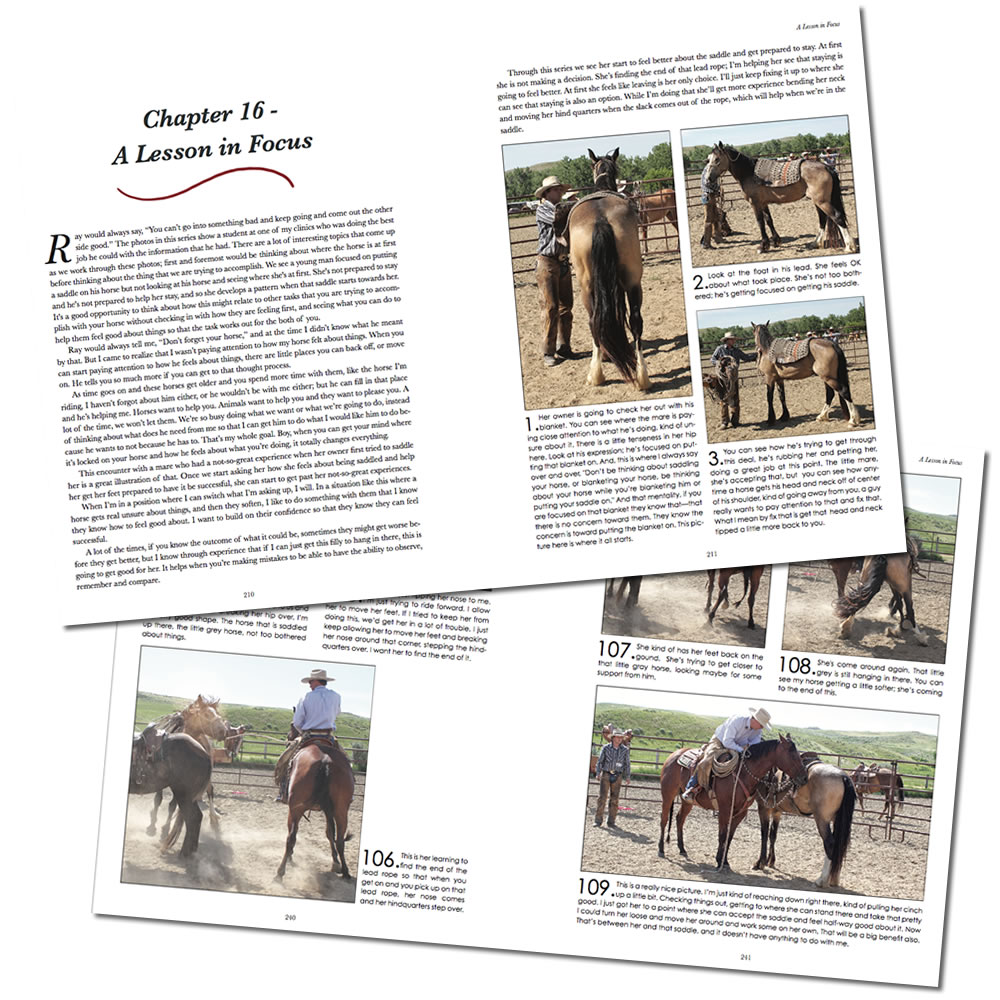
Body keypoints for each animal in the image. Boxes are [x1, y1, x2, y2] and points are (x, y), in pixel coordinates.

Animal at [276, 738, 355, 880]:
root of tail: (326, 761)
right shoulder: (328, 810)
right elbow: (330, 833)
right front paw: (336, 863)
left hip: (295, 809)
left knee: (291, 837)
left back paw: (280, 872)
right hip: (341, 809)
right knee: (340, 840)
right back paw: (345, 871)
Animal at [568, 149, 650, 391]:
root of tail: (600, 220)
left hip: (588, 287)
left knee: (595, 321)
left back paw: (597, 374)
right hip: (632, 282)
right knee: (635, 320)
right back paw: (641, 375)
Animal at [658, 734, 805, 870]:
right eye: (792, 755)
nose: (803, 777)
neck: (743, 775)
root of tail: (674, 755)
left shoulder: (740, 812)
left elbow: (729, 836)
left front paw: (725, 862)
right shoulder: (724, 809)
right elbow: (722, 835)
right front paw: (719, 861)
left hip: (687, 802)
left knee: (679, 819)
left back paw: (682, 849)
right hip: (668, 794)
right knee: (664, 819)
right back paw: (661, 849)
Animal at [706, 142, 857, 254]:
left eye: (717, 159)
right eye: (708, 159)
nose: (708, 178)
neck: (748, 172)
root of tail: (826, 167)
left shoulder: (755, 203)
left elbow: (760, 222)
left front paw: (763, 246)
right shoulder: (763, 203)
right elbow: (769, 220)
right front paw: (775, 241)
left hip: (822, 202)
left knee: (837, 217)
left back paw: (849, 247)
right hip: (818, 202)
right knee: (823, 219)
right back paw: (815, 243)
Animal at [754, 756, 856, 888]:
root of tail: (843, 776)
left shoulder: (763, 808)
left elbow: (764, 834)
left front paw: (760, 863)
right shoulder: (777, 812)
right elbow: (773, 836)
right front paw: (770, 861)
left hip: (822, 820)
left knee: (830, 844)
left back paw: (822, 880)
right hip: (838, 821)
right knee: (839, 846)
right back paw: (834, 879)